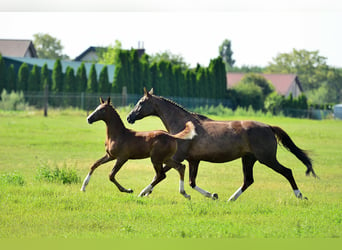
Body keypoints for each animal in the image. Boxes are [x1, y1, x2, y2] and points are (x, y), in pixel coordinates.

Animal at [128, 88, 318, 201]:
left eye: (141, 103)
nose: (129, 117)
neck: (184, 126)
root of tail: (269, 127)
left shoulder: (178, 157)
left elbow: (160, 175)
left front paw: (143, 192)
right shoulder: (193, 160)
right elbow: (191, 182)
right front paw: (213, 195)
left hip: (267, 159)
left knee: (287, 172)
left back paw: (300, 196)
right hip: (249, 159)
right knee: (248, 180)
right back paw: (230, 199)